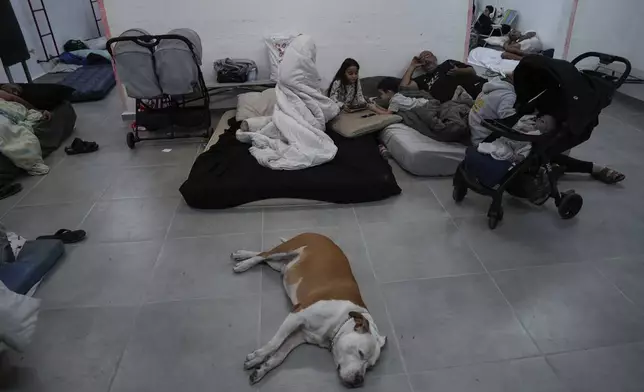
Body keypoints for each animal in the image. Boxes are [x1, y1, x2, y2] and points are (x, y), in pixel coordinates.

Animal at [231, 231, 384, 388]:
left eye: (369, 366)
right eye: (361, 353)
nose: (359, 380)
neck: (340, 321)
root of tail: (319, 234)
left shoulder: (298, 336)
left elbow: (279, 355)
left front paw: (261, 368)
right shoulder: (296, 316)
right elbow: (275, 343)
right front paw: (257, 356)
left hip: (278, 264)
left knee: (264, 256)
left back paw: (241, 255)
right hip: (287, 249)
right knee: (264, 254)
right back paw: (244, 263)